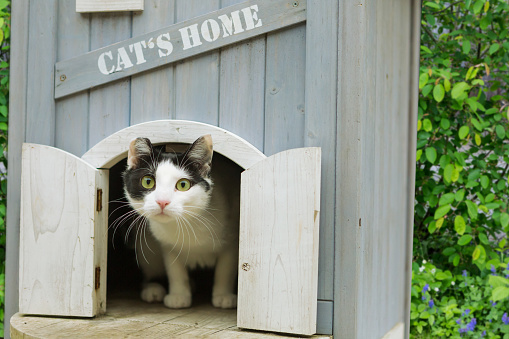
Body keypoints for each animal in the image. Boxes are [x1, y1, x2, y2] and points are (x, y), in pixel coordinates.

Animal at [123, 134, 242, 310]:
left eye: (183, 184)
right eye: (147, 182)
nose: (162, 201)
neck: (187, 224)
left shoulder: (233, 238)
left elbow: (225, 269)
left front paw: (223, 295)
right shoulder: (166, 244)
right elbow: (175, 270)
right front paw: (179, 295)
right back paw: (153, 287)